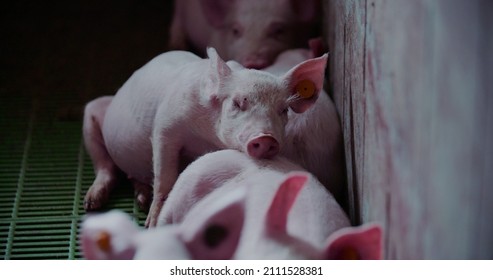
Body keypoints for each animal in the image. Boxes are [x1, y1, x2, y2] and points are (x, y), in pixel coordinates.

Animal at [81, 47, 326, 228]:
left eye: (283, 110)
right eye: (238, 102)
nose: (266, 138)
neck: (205, 137)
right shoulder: (165, 126)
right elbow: (165, 177)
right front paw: (152, 225)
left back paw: (140, 198)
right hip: (92, 113)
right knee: (106, 165)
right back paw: (91, 204)